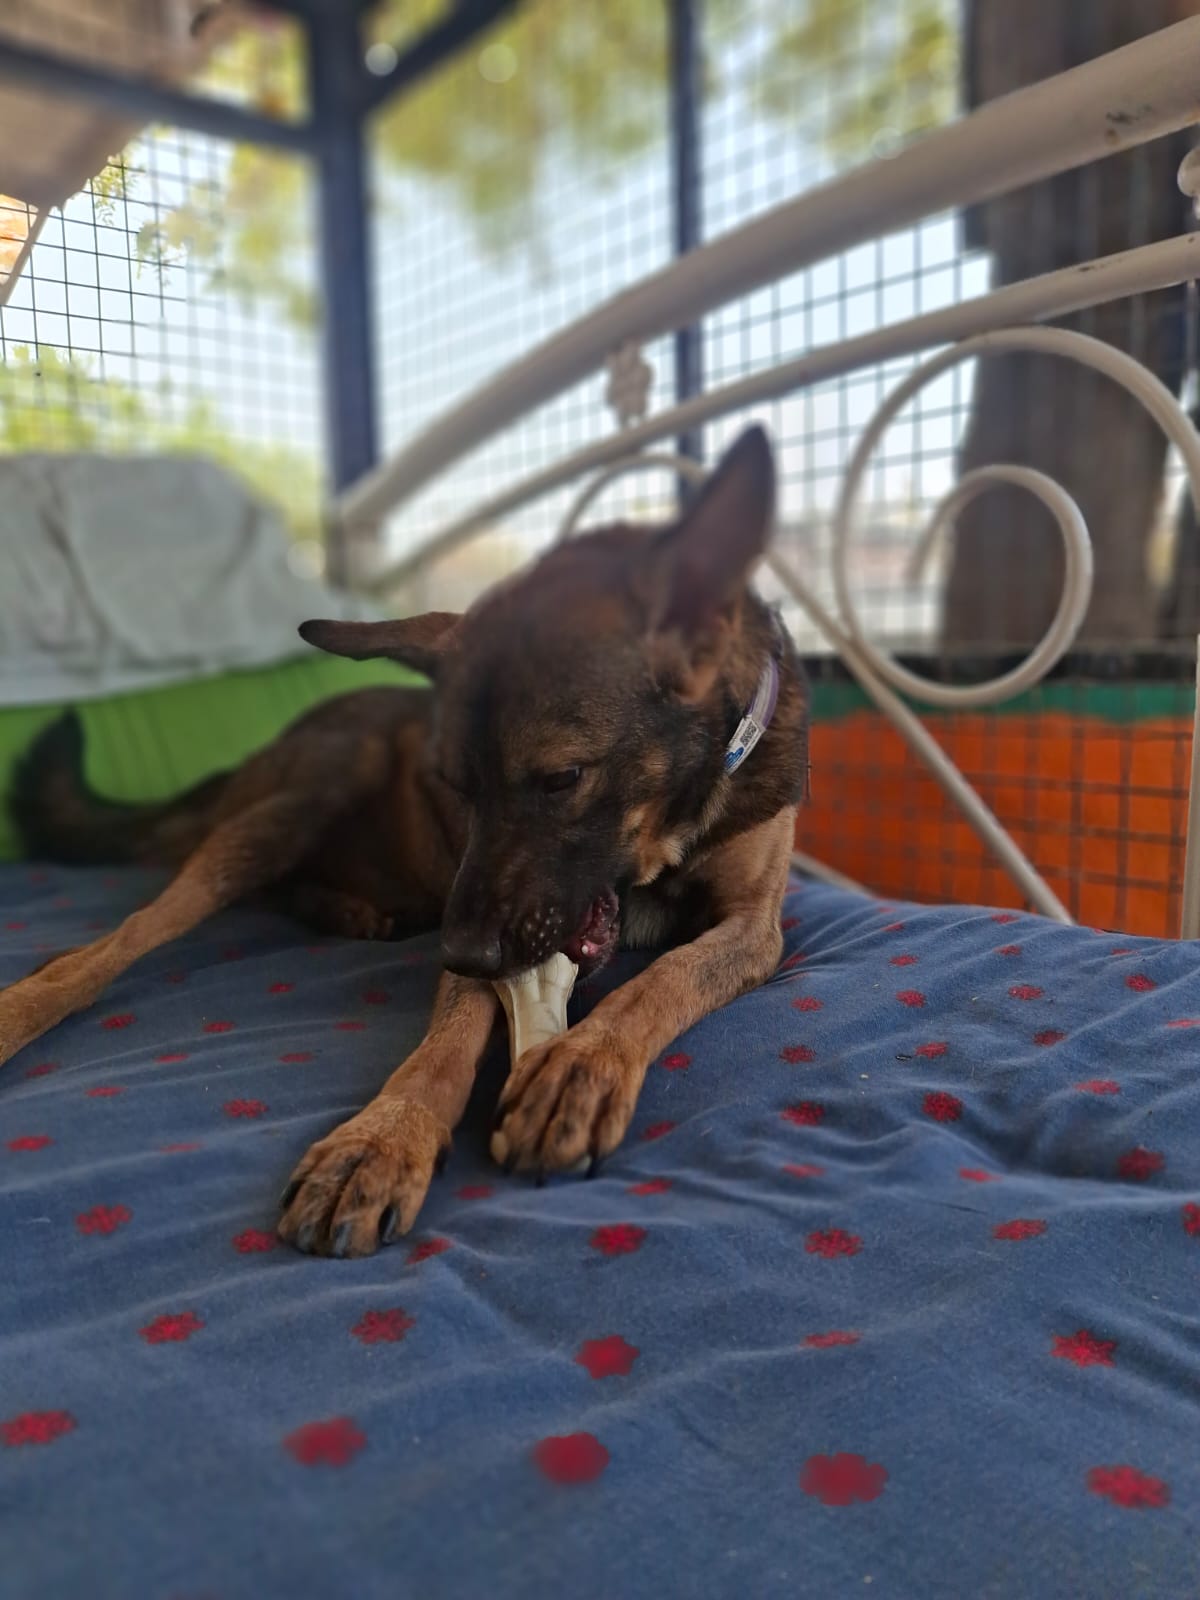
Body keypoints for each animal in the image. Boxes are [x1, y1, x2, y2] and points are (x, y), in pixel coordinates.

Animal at [1, 425, 808, 1256]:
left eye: (561, 779)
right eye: (455, 783)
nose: (459, 952)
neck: (683, 809)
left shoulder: (752, 927)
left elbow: (664, 978)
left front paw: (583, 1063)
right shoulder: (489, 914)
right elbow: (442, 1046)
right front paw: (382, 1140)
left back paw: (349, 910)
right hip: (309, 793)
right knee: (111, 945)